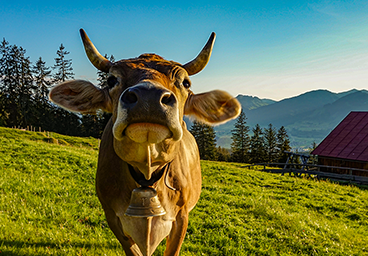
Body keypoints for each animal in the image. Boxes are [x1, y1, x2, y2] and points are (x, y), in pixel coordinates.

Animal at [49, 30, 242, 256]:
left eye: (185, 83)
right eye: (111, 80)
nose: (149, 96)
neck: (147, 174)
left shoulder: (182, 217)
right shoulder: (112, 217)